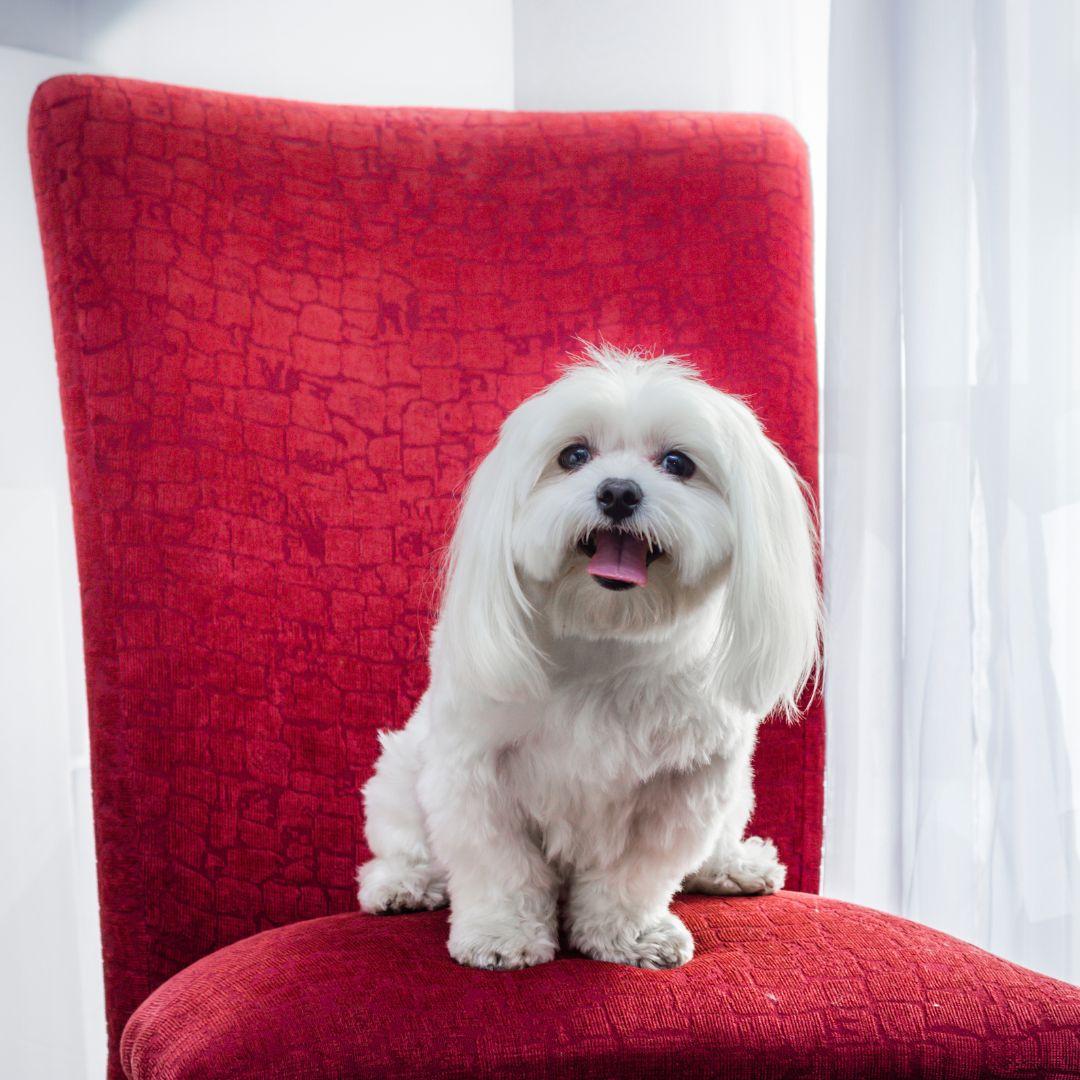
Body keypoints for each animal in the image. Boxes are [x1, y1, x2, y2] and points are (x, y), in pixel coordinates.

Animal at [354, 343, 816, 972]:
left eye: (678, 463)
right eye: (573, 455)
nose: (619, 491)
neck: (605, 638)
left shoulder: (684, 788)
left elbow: (635, 875)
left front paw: (627, 935)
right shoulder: (475, 772)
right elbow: (499, 864)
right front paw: (501, 935)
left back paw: (732, 866)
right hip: (401, 773)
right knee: (404, 846)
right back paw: (401, 884)